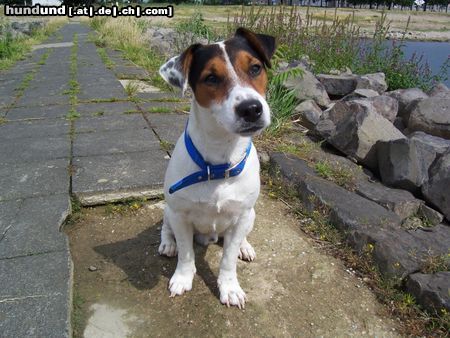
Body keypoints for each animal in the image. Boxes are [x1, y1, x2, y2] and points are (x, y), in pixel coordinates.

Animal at [156, 28, 276, 308]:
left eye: (255, 68)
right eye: (211, 78)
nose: (251, 108)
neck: (219, 163)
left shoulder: (241, 217)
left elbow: (228, 260)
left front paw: (229, 287)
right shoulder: (180, 215)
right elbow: (187, 254)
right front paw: (183, 277)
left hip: (251, 215)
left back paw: (245, 246)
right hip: (168, 209)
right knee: (166, 229)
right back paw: (168, 244)